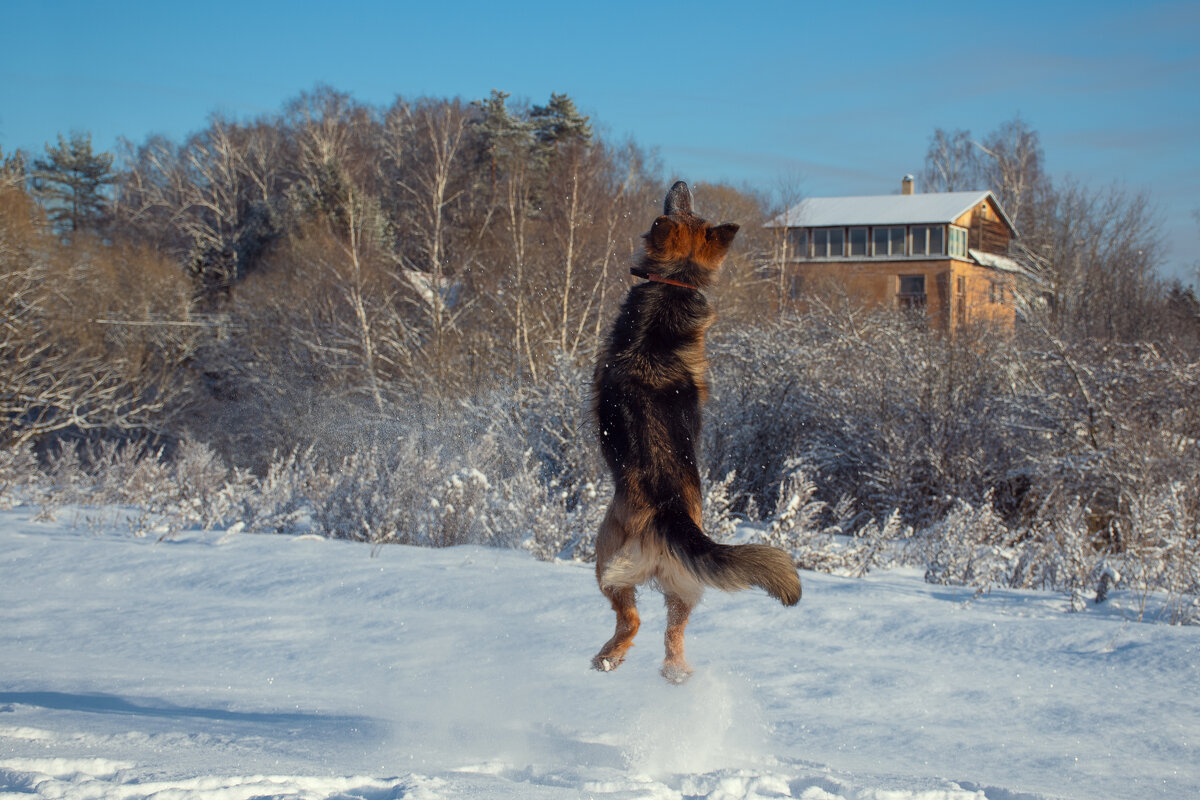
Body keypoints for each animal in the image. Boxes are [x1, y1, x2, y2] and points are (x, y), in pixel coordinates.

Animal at [588, 181, 796, 681]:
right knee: (671, 634)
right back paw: (675, 674)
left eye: (673, 213)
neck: (676, 283)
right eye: (692, 211)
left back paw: (607, 657)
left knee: (632, 619)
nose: (681, 183)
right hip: (684, 586)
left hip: (605, 561)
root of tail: (671, 514)